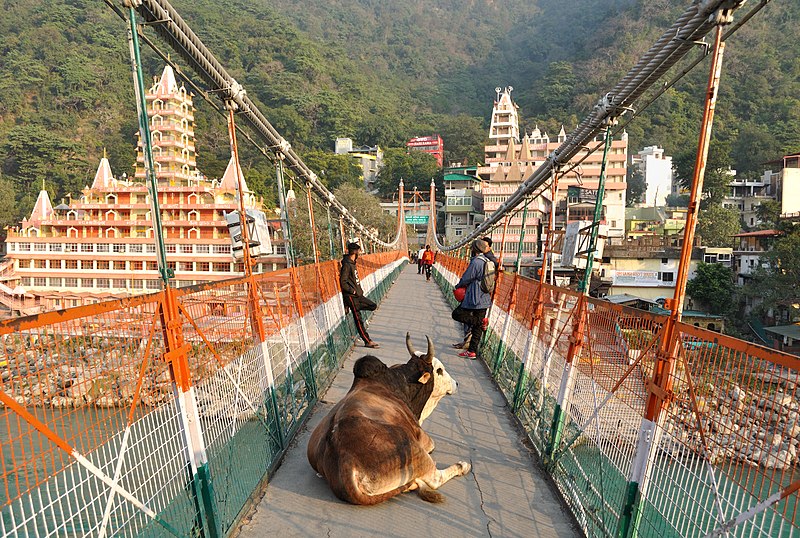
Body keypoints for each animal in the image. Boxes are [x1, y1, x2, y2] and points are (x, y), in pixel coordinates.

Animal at [304, 330, 468, 502]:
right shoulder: (422, 437)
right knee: (435, 478)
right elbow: (432, 445)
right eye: (439, 370)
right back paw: (462, 466)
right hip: (410, 446)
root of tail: (345, 462)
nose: (456, 384)